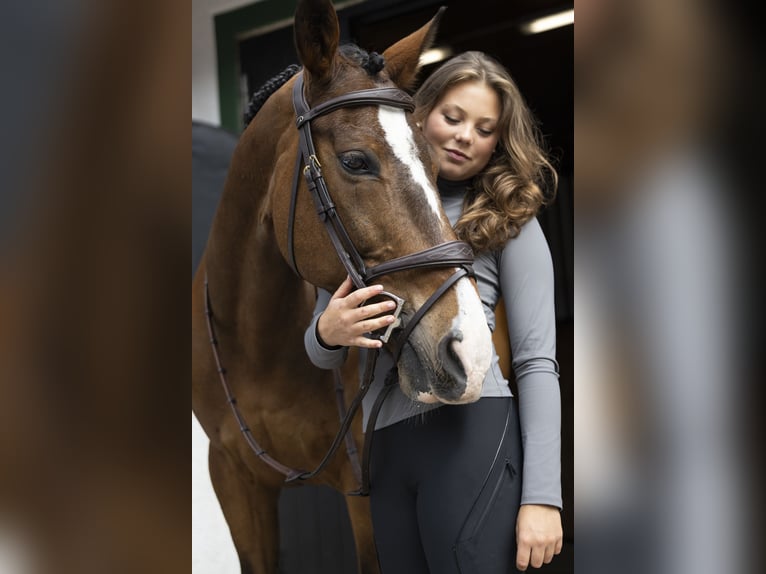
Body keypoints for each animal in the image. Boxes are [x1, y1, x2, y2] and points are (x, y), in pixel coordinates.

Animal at [190, 2, 492, 572]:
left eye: (434, 162)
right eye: (356, 161)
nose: (470, 348)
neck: (259, 345)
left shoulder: (365, 499)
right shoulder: (234, 482)